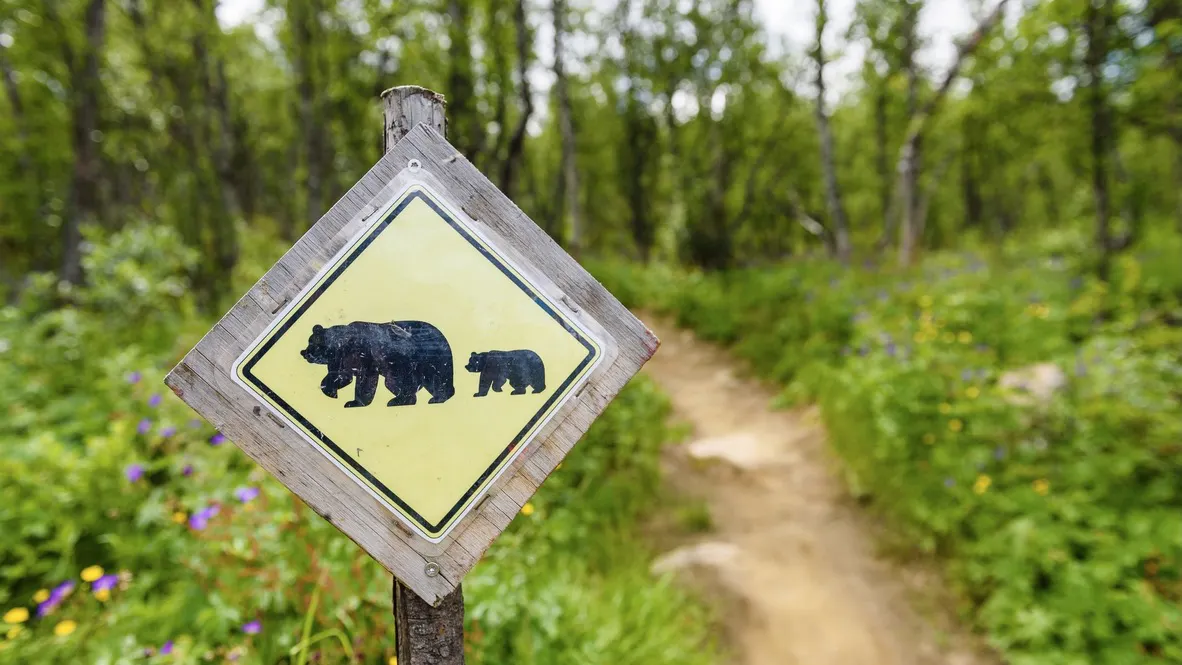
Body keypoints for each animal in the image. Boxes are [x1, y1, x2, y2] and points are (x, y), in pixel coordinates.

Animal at [300, 320, 455, 408]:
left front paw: (356, 402)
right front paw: (330, 391)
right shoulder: (342, 361)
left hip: (424, 360)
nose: (304, 352)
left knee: (436, 379)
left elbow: (365, 380)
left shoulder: (365, 357)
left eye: (312, 343)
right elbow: (340, 376)